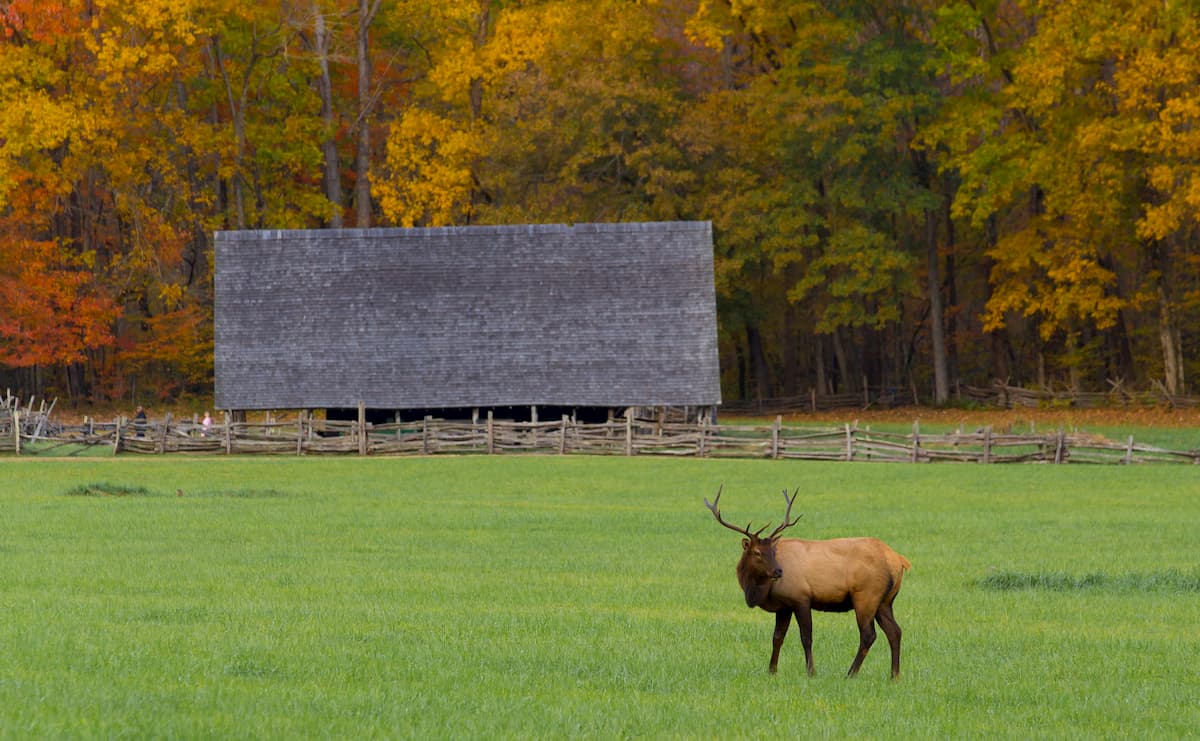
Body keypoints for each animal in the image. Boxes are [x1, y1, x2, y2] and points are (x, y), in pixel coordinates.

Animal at [705, 486, 911, 679]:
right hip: (885, 601)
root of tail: (899, 559)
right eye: (757, 552)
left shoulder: (801, 598)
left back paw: (851, 673)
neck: (758, 590)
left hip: (866, 596)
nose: (779, 571)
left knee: (868, 634)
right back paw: (894, 675)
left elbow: (806, 637)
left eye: (772, 551)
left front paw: (811, 671)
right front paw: (771, 671)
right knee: (895, 631)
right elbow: (777, 637)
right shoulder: (784, 606)